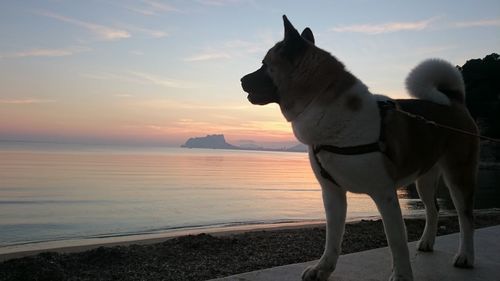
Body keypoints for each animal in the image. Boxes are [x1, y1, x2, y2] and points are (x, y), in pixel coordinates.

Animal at [240, 15, 478, 280]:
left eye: (264, 64)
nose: (241, 80)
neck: (322, 101)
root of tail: (454, 102)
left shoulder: (385, 194)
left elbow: (396, 240)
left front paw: (402, 275)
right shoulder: (332, 193)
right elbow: (333, 238)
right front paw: (323, 268)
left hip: (458, 174)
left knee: (466, 216)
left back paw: (465, 256)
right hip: (424, 177)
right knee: (433, 209)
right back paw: (427, 242)